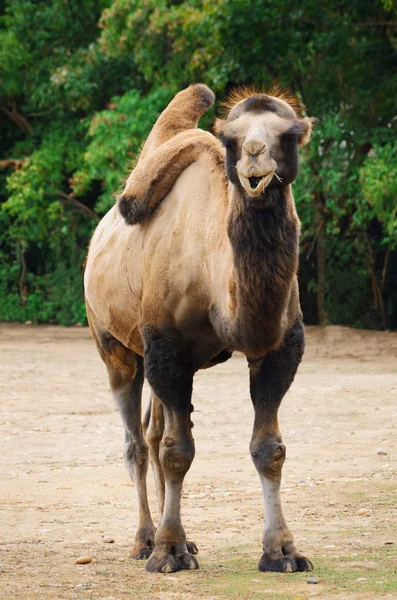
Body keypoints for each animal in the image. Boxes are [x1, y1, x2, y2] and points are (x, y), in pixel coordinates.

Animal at [84, 82, 316, 576]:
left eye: (288, 134)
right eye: (231, 138)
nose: (254, 156)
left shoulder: (280, 345)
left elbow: (269, 448)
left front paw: (282, 551)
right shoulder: (166, 344)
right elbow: (178, 451)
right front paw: (168, 552)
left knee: (152, 433)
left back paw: (175, 537)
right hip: (113, 343)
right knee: (137, 442)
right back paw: (144, 540)